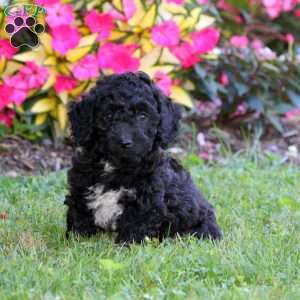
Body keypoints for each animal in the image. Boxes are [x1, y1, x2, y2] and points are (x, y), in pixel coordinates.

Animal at [65, 71, 220, 243]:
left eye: (143, 116)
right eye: (108, 115)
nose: (125, 142)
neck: (116, 165)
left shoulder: (146, 200)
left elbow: (136, 224)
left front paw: (127, 244)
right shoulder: (81, 185)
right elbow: (80, 213)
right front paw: (78, 239)